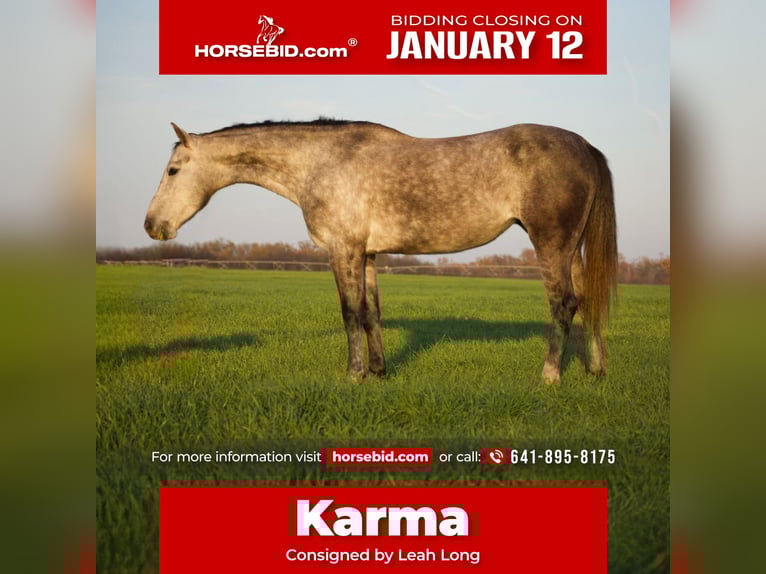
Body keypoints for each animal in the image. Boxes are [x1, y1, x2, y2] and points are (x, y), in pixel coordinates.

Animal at [144, 119, 618, 383]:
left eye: (174, 170)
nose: (152, 225)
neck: (321, 162)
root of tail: (584, 145)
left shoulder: (342, 249)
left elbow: (350, 312)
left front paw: (353, 375)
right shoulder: (368, 254)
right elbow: (371, 312)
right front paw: (378, 371)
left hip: (551, 242)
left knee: (563, 303)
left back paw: (550, 375)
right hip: (573, 247)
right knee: (588, 299)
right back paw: (595, 370)